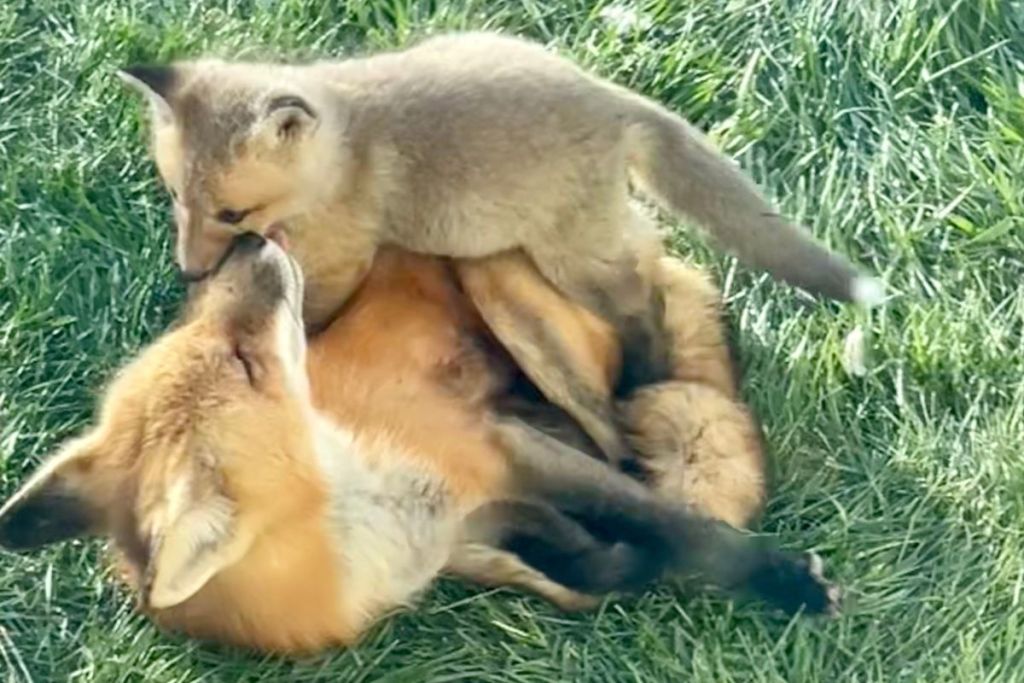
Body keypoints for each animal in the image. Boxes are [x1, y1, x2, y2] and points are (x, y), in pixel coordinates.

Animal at [0, 233, 838, 654]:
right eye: (243, 361)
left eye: (222, 342)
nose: (245, 239)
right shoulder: (464, 538)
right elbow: (581, 572)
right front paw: (619, 562)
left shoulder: (496, 448)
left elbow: (681, 528)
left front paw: (781, 578)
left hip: (526, 319)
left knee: (634, 402)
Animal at [118, 31, 885, 463]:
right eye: (176, 196)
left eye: (232, 210)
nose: (188, 268)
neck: (345, 152)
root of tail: (613, 98)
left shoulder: (344, 257)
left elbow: (312, 312)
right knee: (652, 250)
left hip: (573, 257)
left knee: (644, 297)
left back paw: (645, 371)